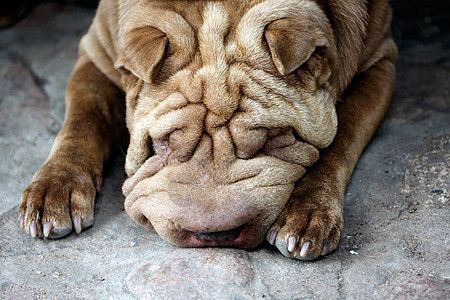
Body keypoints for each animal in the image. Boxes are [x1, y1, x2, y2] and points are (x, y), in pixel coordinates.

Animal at [19, 0, 396, 260]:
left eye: (272, 139)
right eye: (164, 142)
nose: (215, 235)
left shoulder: (380, 62)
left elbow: (341, 139)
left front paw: (306, 214)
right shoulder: (96, 53)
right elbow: (82, 119)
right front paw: (54, 192)